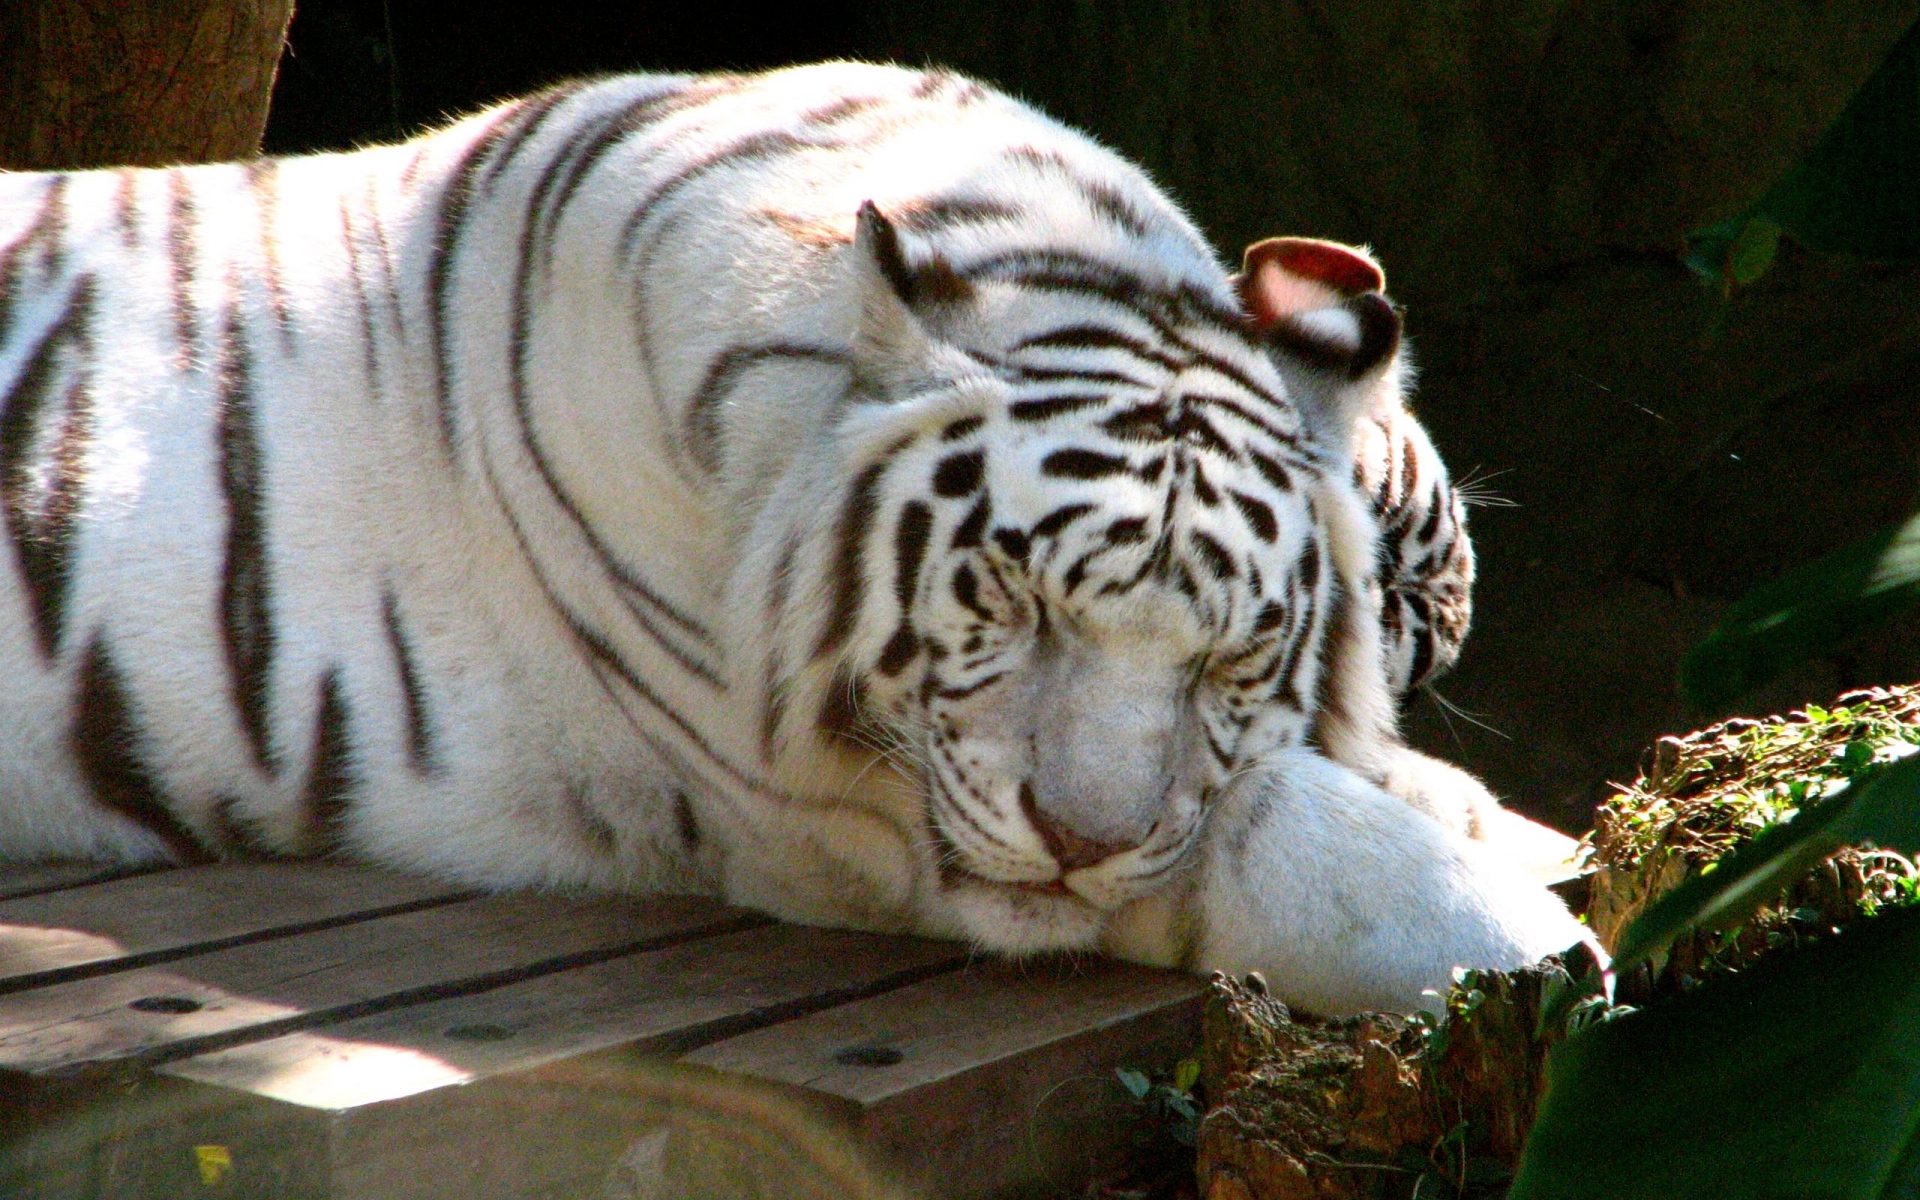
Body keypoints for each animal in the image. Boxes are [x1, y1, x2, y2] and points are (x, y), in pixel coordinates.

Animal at [0, 62, 1582, 1015]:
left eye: (1239, 653)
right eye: (1013, 595)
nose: (1080, 842)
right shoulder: (832, 813)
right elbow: (1285, 844)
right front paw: (1552, 944)